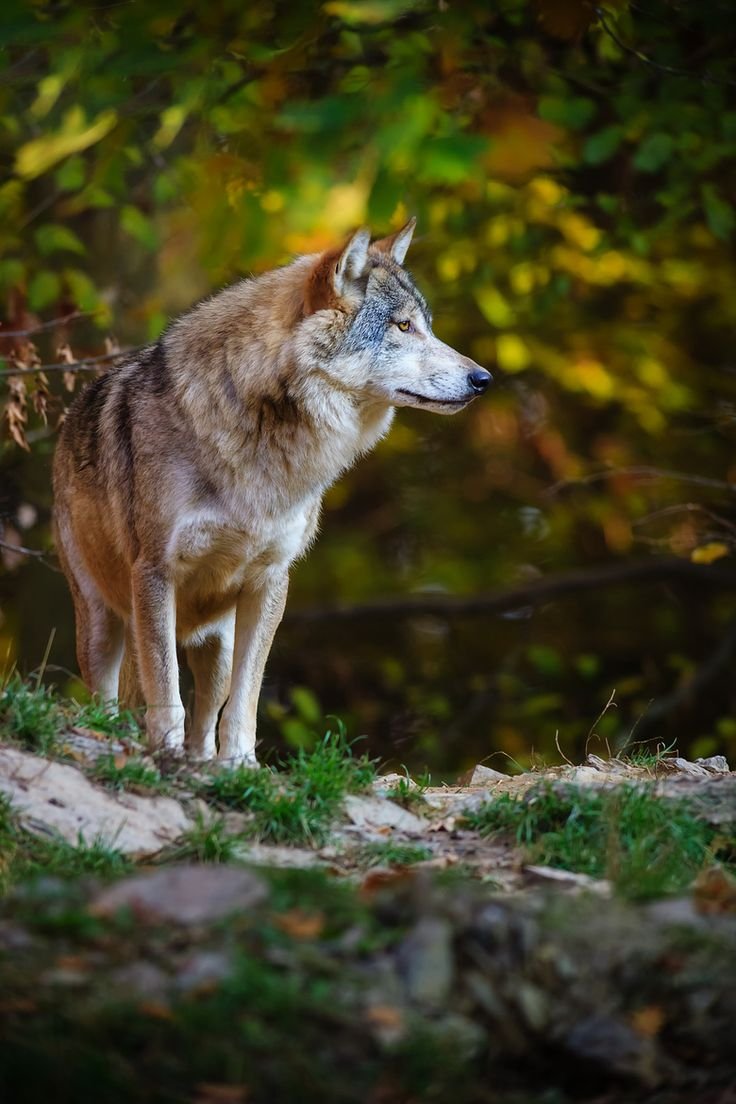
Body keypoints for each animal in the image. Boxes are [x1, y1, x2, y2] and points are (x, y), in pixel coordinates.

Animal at [51, 219, 489, 763]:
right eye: (403, 327)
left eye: (425, 325)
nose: (484, 378)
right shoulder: (153, 571)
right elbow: (165, 688)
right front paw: (164, 751)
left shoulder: (270, 581)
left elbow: (246, 698)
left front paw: (240, 764)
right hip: (101, 623)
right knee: (108, 697)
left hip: (213, 643)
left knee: (206, 713)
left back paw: (201, 762)